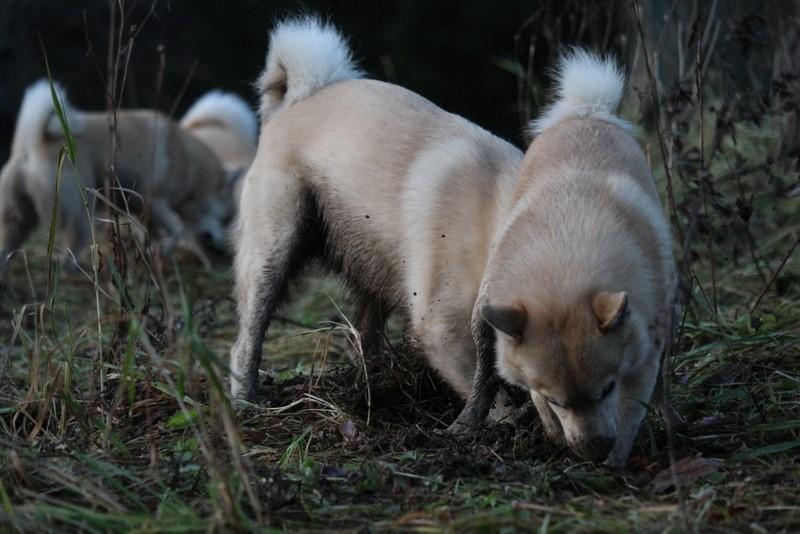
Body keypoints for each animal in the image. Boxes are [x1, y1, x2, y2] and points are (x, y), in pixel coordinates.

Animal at [0, 80, 231, 280]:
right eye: (224, 219)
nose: (219, 246)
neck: (189, 161)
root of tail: (31, 145)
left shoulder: (142, 211)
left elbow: (154, 235)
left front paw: (152, 254)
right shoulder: (156, 202)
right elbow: (177, 231)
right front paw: (164, 249)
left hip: (18, 222)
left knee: (8, 249)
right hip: (81, 216)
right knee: (69, 257)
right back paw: (85, 273)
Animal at [231, 18, 676, 466]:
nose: (595, 448)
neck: (498, 217)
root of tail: (302, 95)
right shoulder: (444, 335)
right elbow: (488, 390)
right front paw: (503, 422)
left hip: (373, 265)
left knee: (364, 335)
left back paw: (376, 385)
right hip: (274, 257)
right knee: (245, 342)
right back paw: (247, 401)